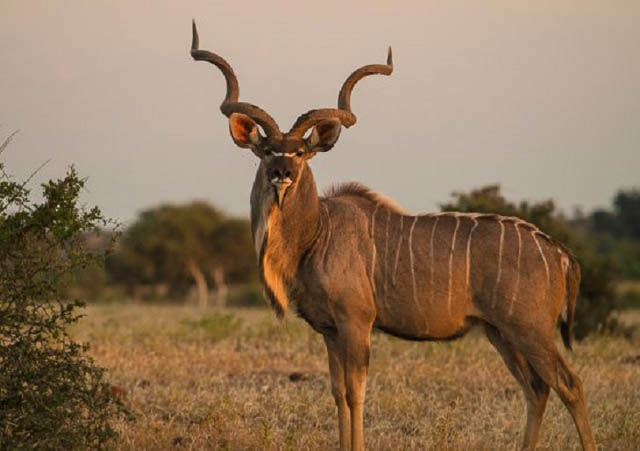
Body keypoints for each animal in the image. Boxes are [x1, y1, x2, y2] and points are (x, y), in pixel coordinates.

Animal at [190, 21, 596, 451]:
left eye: (301, 152)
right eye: (266, 150)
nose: (281, 173)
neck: (317, 234)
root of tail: (560, 253)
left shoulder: (356, 321)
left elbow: (356, 392)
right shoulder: (330, 331)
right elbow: (337, 392)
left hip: (530, 329)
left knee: (569, 384)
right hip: (501, 332)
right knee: (537, 388)